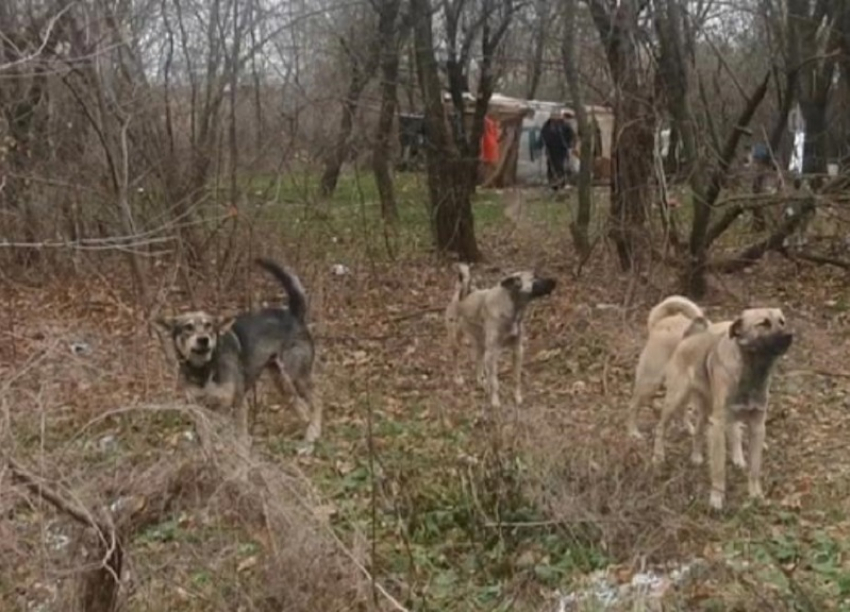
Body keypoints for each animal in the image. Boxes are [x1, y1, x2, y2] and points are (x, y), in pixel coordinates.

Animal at [157, 258, 320, 450]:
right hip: (281, 379)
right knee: (300, 405)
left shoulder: (237, 401)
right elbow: (207, 439)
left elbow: (240, 436)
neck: (204, 369)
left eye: (209, 325)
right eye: (188, 327)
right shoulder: (199, 409)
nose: (204, 340)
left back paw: (313, 433)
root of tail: (293, 314)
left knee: (317, 399)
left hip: (296, 374)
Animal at [652, 306, 792, 512]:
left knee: (698, 431)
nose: (790, 334)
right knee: (661, 427)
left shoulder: (758, 427)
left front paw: (756, 495)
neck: (751, 371)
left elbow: (755, 468)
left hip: (705, 409)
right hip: (675, 399)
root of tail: (687, 339)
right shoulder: (718, 427)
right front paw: (717, 498)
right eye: (763, 324)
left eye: (782, 321)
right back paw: (658, 457)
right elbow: (719, 470)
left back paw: (696, 456)